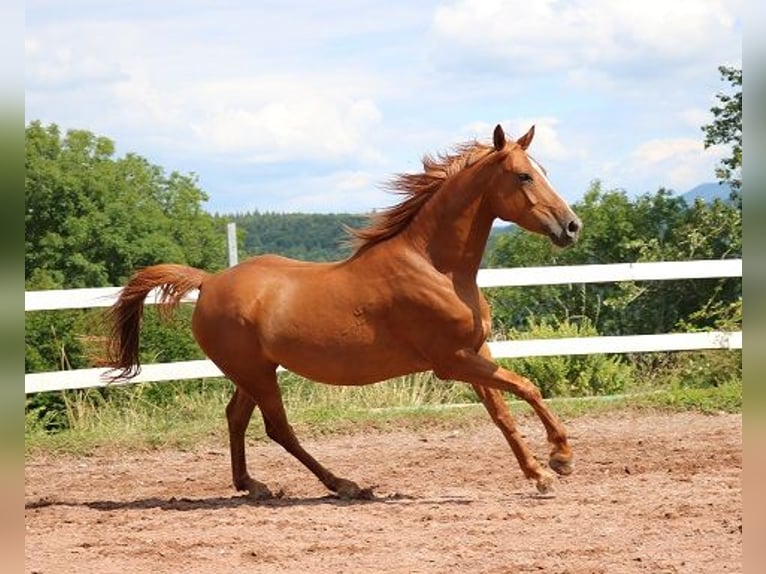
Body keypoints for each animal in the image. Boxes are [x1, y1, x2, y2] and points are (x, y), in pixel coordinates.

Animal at [106, 124, 582, 499]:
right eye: (523, 175)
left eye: (544, 171)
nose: (571, 226)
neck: (435, 266)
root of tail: (209, 282)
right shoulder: (452, 361)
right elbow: (527, 387)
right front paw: (559, 458)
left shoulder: (474, 354)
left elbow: (502, 413)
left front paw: (539, 473)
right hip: (256, 374)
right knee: (278, 428)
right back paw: (344, 485)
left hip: (253, 372)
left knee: (236, 417)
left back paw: (253, 485)